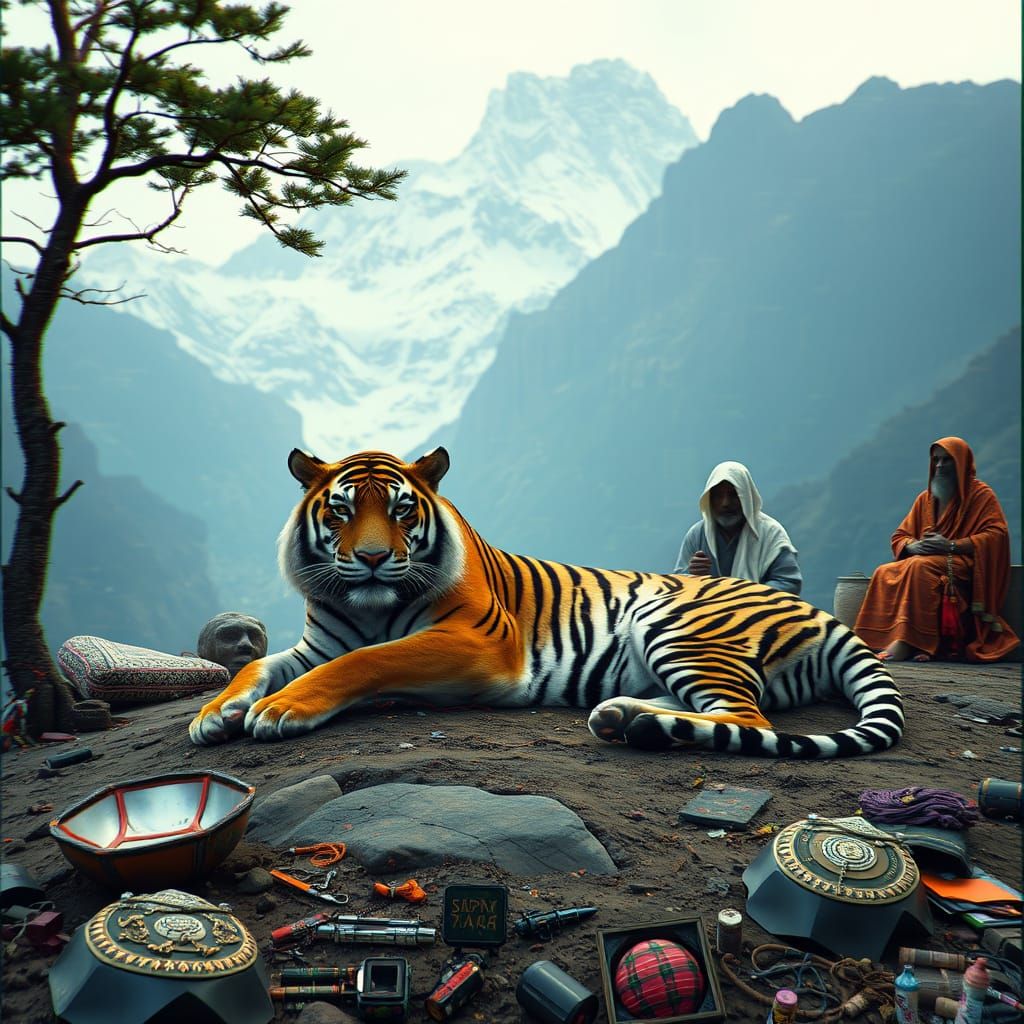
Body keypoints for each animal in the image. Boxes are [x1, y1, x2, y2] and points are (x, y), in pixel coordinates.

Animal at [189, 447, 904, 757]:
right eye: (339, 512)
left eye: (400, 511)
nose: (367, 558)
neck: (367, 604)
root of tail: (823, 614)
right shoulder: (317, 642)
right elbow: (261, 665)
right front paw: (216, 712)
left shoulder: (480, 645)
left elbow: (367, 661)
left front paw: (280, 710)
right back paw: (622, 716)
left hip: (676, 623)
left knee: (747, 720)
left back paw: (635, 724)